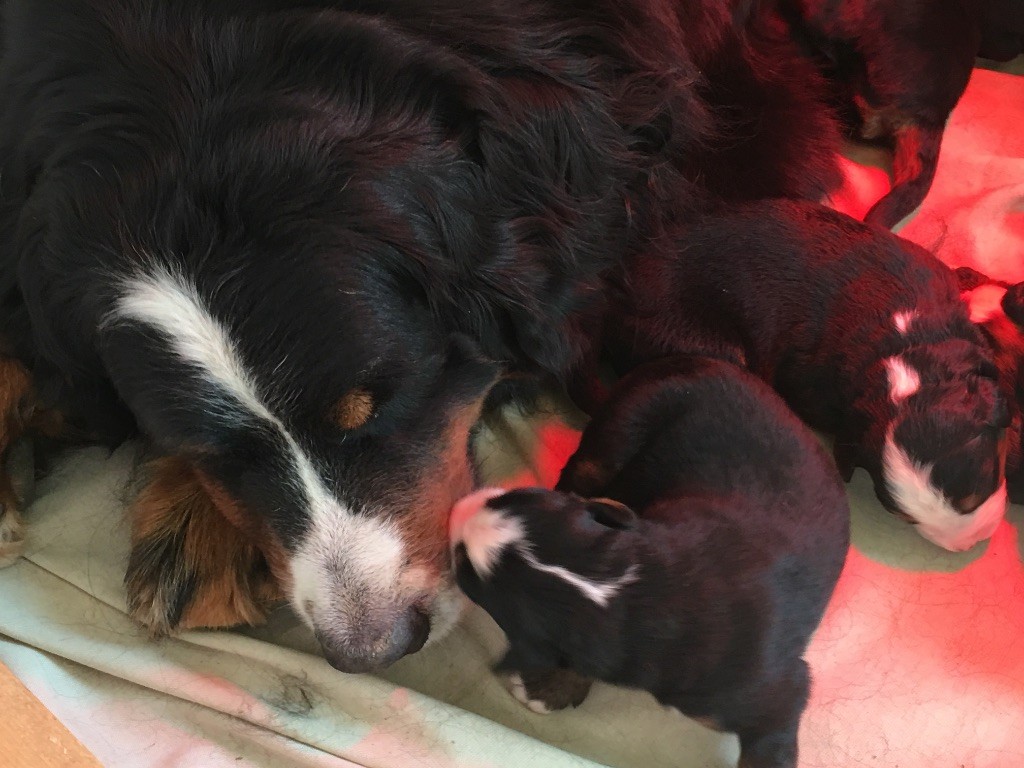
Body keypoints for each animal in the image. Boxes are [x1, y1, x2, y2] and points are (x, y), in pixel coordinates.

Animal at [454, 358, 847, 768]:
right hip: (622, 428)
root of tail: (696, 360)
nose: (461, 507)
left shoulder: (771, 695)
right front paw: (552, 688)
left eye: (467, 574)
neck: (646, 591)